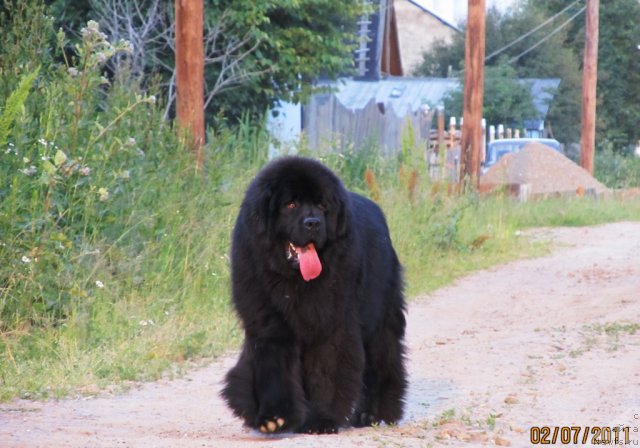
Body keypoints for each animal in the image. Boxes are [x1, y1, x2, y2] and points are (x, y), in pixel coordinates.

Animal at [222, 157, 408, 434]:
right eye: (290, 204)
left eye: (322, 206)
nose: (313, 223)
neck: (293, 280)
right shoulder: (268, 324)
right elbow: (272, 365)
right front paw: (272, 417)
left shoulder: (331, 324)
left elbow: (327, 369)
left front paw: (321, 419)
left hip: (380, 317)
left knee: (382, 360)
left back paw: (373, 413)